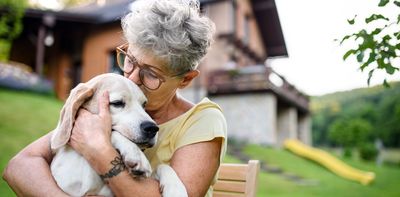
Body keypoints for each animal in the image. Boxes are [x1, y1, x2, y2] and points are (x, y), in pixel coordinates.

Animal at [50, 73, 188, 197]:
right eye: (117, 103)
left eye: (144, 105)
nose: (152, 128)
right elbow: (113, 132)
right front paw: (136, 155)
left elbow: (163, 166)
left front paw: (176, 190)